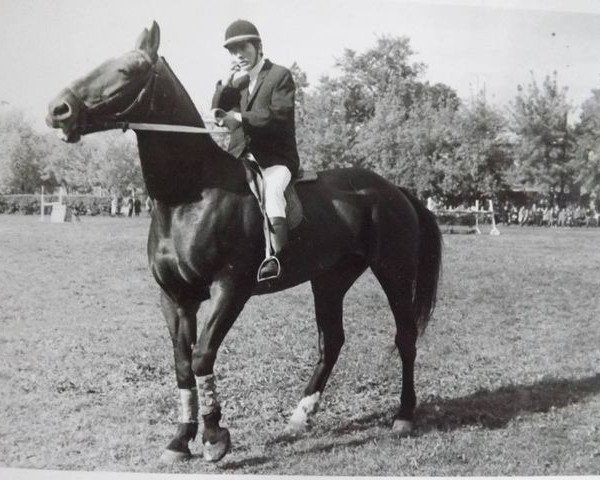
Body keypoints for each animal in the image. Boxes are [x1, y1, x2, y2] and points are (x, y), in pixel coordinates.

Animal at [45, 23, 440, 464]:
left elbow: (202, 356)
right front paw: (180, 440)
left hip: (394, 271)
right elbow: (183, 364)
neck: (188, 196)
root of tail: (393, 189)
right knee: (332, 341)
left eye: (127, 70)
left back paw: (404, 415)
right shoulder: (175, 297)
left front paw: (215, 437)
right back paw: (300, 416)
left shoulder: (230, 289)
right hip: (330, 279)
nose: (59, 110)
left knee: (405, 337)